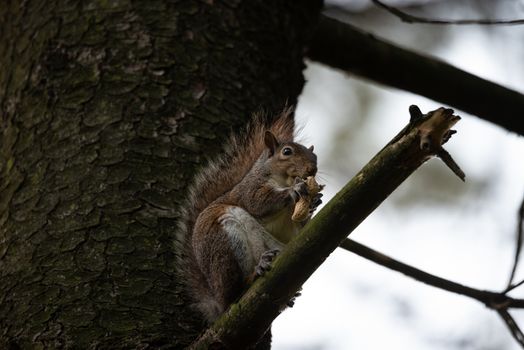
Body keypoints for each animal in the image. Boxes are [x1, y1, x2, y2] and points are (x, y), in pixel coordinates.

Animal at [176, 109, 322, 340]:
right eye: (287, 152)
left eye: (315, 156)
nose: (312, 169)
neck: (283, 180)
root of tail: (217, 304)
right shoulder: (249, 189)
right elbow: (258, 202)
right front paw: (295, 191)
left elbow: (299, 228)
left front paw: (314, 203)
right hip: (226, 242)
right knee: (234, 292)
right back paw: (256, 270)